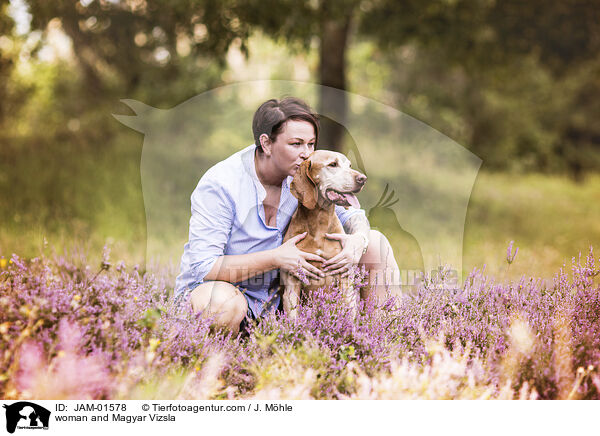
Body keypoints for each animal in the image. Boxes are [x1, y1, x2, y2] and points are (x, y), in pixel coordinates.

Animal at [280, 151, 366, 320]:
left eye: (350, 165)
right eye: (333, 164)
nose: (363, 179)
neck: (319, 223)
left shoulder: (344, 280)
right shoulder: (292, 285)